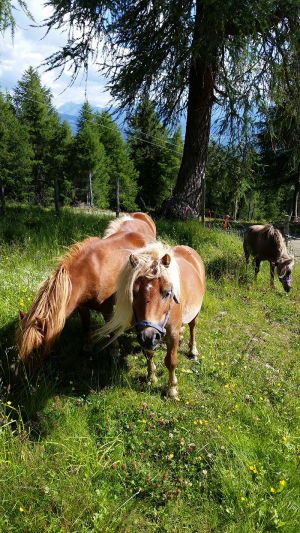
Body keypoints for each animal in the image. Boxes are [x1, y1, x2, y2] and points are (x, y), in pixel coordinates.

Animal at [17, 212, 156, 362]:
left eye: (37, 347)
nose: (25, 369)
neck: (90, 272)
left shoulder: (107, 308)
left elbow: (111, 330)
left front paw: (114, 352)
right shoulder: (82, 307)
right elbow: (86, 326)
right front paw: (87, 348)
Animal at [97, 241, 205, 394]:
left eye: (167, 292)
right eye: (134, 292)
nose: (150, 335)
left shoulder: (171, 334)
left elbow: (171, 361)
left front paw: (172, 389)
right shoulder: (144, 334)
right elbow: (149, 354)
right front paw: (151, 377)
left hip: (196, 312)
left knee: (193, 327)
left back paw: (193, 351)